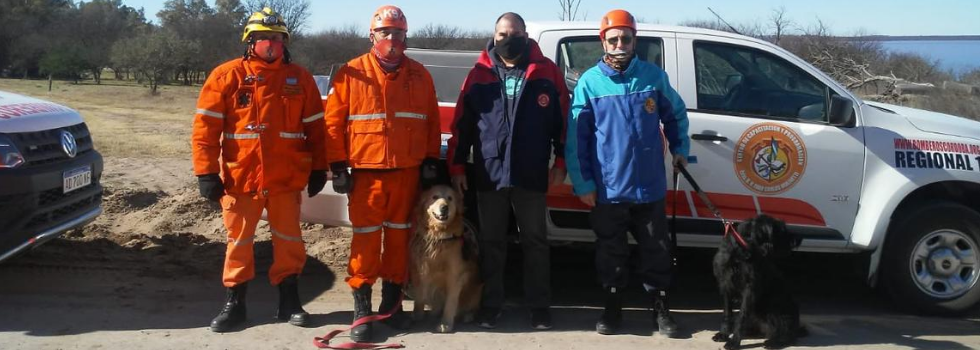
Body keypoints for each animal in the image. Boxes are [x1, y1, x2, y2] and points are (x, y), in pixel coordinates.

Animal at [712, 215, 804, 348]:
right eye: (781, 230)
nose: (799, 239)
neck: (742, 249)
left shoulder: (749, 290)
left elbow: (741, 317)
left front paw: (734, 341)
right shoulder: (725, 284)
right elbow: (727, 313)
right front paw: (724, 334)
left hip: (776, 310)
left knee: (787, 334)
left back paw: (774, 342)